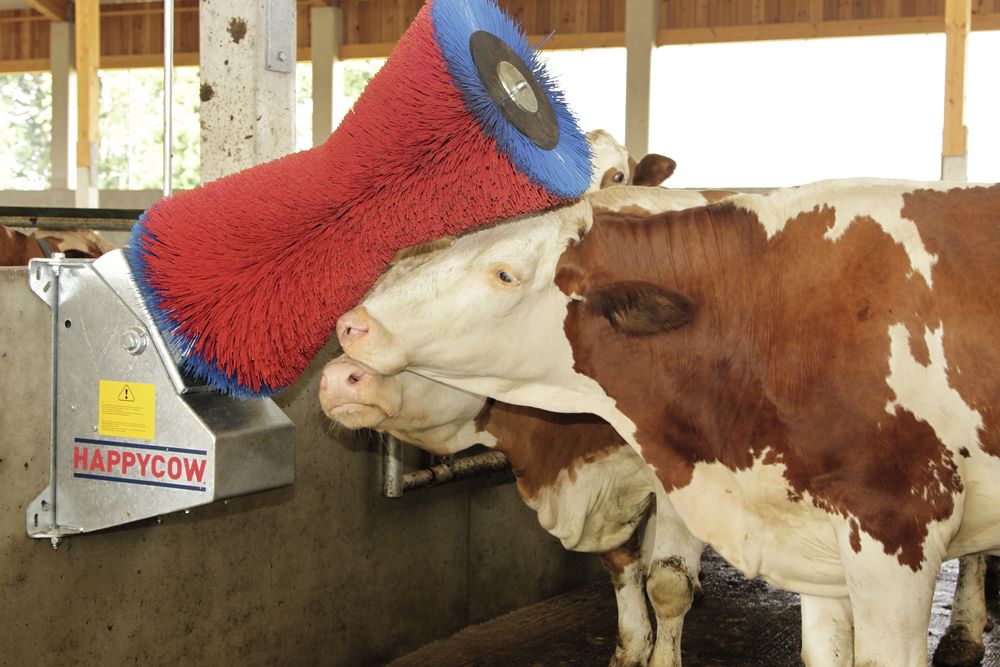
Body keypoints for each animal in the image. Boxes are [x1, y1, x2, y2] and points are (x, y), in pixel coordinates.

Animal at [336, 179, 1000, 666]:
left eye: (504, 273)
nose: (344, 346)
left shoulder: (895, 524)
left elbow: (668, 583)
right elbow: (626, 567)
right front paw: (631, 648)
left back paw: (966, 634)